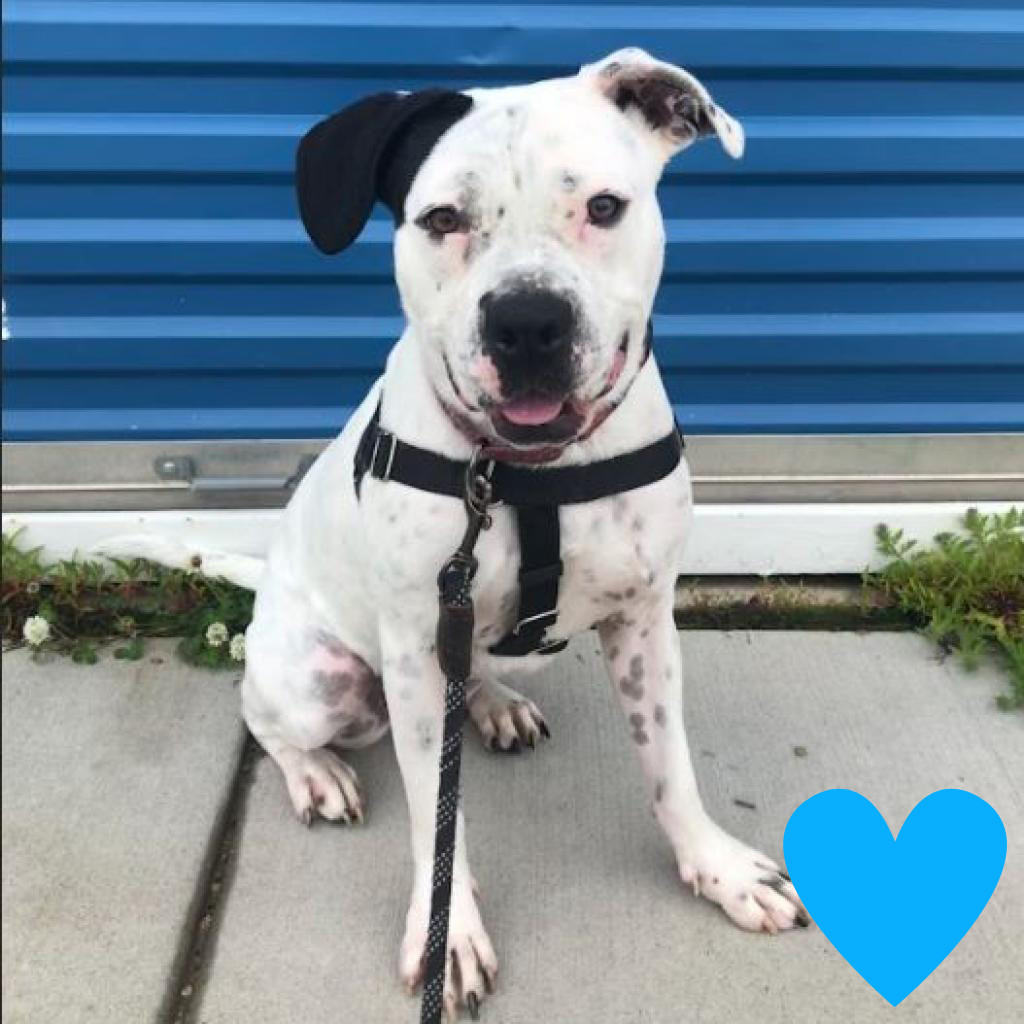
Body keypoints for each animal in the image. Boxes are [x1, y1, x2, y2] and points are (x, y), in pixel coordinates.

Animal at [110, 49, 806, 1024]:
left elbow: (669, 766)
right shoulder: (409, 656)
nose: (527, 322)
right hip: (320, 682)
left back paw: (494, 701)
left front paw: (715, 868)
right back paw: (316, 771)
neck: (525, 472)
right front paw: (449, 935)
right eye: (442, 219)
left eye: (603, 207)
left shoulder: (645, 622)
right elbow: (438, 824)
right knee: (265, 719)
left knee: (468, 676)